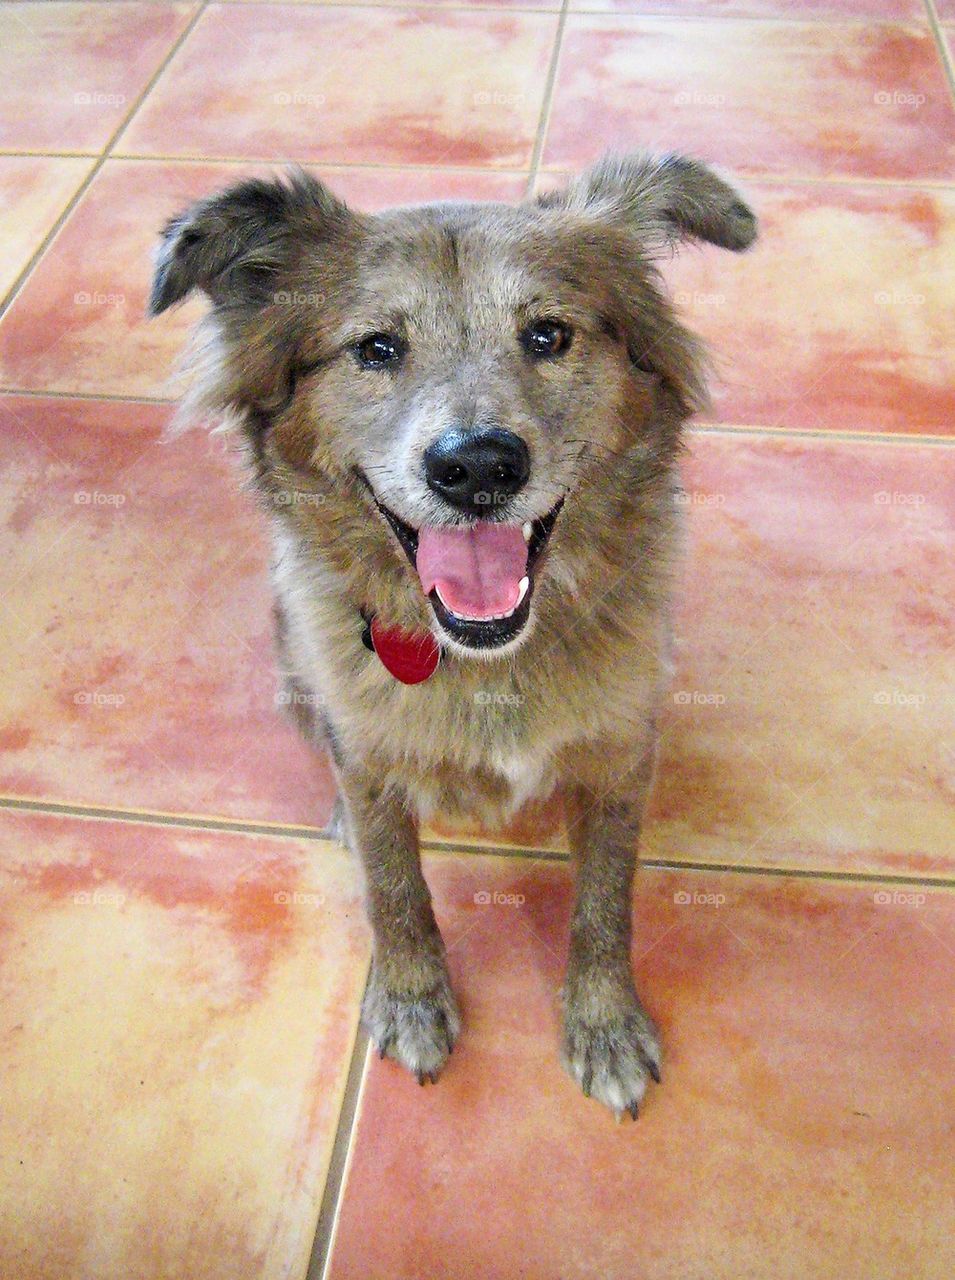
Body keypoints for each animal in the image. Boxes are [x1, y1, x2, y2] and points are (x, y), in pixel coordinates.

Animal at [150, 152, 757, 1121]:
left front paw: (603, 1024)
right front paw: (409, 998)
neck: (489, 657)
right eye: (375, 349)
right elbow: (394, 886)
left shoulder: (621, 754)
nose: (476, 467)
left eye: (547, 335)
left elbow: (605, 900)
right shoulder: (367, 756)